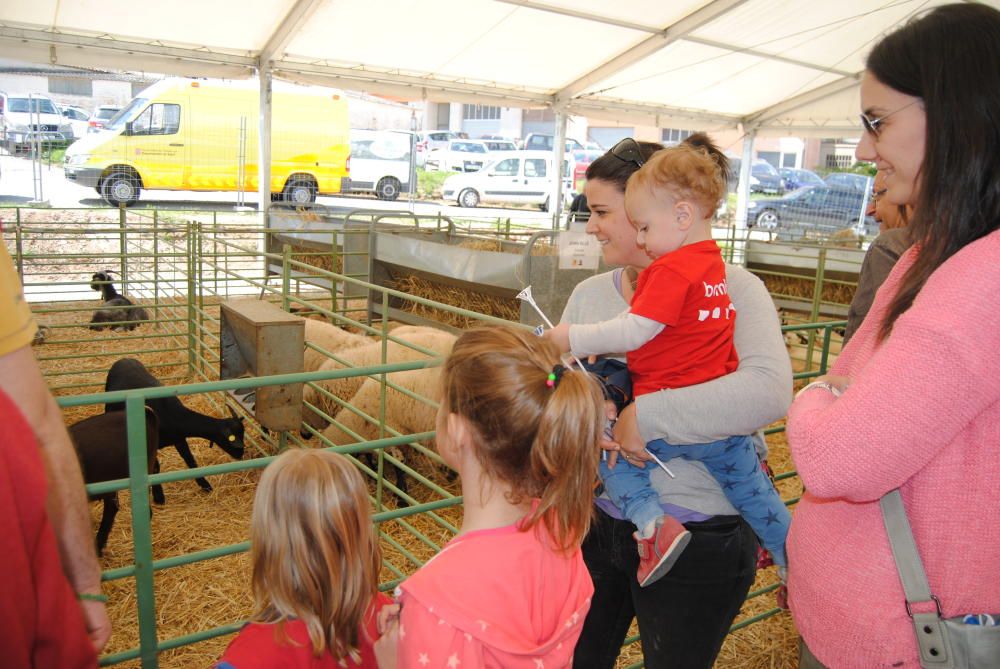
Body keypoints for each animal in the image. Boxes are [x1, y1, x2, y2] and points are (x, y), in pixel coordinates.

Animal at [103, 358, 246, 504]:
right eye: (232, 438)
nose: (241, 454)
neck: (173, 416)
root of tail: (123, 359)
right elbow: (155, 468)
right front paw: (159, 497)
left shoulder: (179, 439)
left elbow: (190, 460)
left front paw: (205, 486)